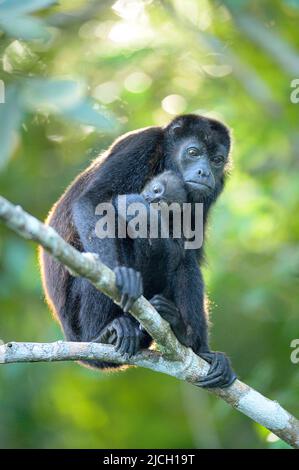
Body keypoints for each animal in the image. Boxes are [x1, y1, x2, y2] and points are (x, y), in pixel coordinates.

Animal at [39, 114, 237, 390]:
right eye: (193, 152)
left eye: (217, 160)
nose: (204, 172)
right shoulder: (141, 145)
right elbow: (93, 202)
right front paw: (119, 275)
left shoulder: (211, 191)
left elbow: (190, 251)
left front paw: (202, 348)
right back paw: (106, 332)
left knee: (183, 260)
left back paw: (184, 334)